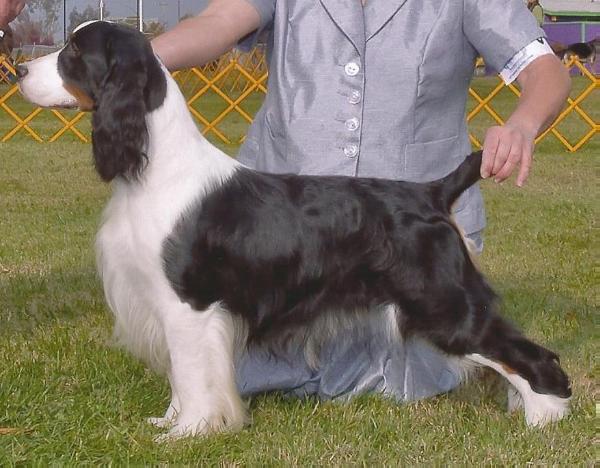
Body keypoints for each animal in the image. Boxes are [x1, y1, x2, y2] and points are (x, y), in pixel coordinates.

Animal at [16, 22, 572, 438]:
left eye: (73, 52)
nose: (18, 68)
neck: (155, 168)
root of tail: (433, 193)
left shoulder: (188, 304)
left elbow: (193, 376)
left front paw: (189, 432)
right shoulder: (166, 303)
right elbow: (181, 375)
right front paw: (169, 422)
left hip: (444, 304)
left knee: (532, 356)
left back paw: (544, 420)